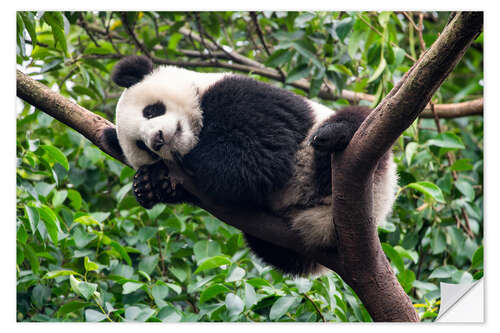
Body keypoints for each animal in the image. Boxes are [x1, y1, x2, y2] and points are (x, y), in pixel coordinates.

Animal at [103, 55, 396, 274]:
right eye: (141, 145)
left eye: (151, 111)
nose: (157, 140)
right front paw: (149, 184)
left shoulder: (245, 97)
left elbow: (258, 158)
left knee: (357, 122)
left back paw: (335, 134)